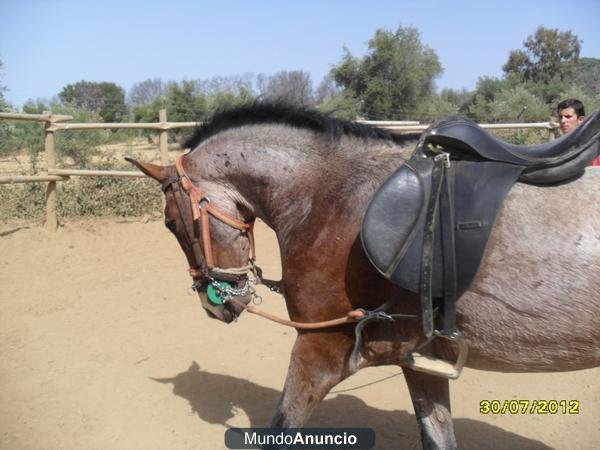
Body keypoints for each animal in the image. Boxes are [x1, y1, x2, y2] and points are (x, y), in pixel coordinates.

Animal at [124, 103, 596, 448]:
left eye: (171, 223)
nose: (214, 304)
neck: (334, 197)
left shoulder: (319, 352)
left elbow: (282, 426)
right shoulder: (422, 361)